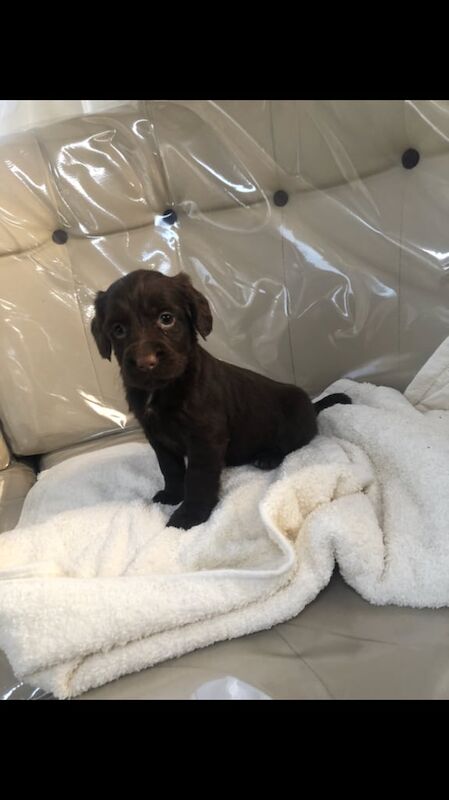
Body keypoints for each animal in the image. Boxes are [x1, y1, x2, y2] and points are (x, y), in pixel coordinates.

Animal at [91, 270, 350, 532]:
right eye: (118, 329)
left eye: (166, 319)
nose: (146, 362)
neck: (164, 389)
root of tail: (312, 407)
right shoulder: (158, 437)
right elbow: (170, 468)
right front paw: (172, 494)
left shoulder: (205, 438)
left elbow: (198, 477)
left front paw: (189, 515)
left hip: (294, 415)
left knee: (293, 444)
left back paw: (268, 457)